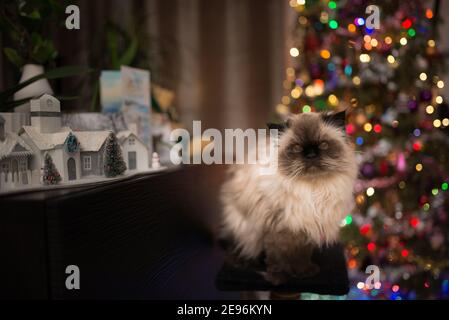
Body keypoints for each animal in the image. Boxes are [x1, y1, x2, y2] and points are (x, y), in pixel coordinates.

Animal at [218, 110, 356, 284]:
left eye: (323, 145)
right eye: (296, 148)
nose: (311, 155)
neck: (312, 191)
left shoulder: (306, 228)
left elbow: (301, 256)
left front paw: (304, 272)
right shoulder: (276, 226)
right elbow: (277, 257)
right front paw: (279, 278)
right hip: (244, 227)